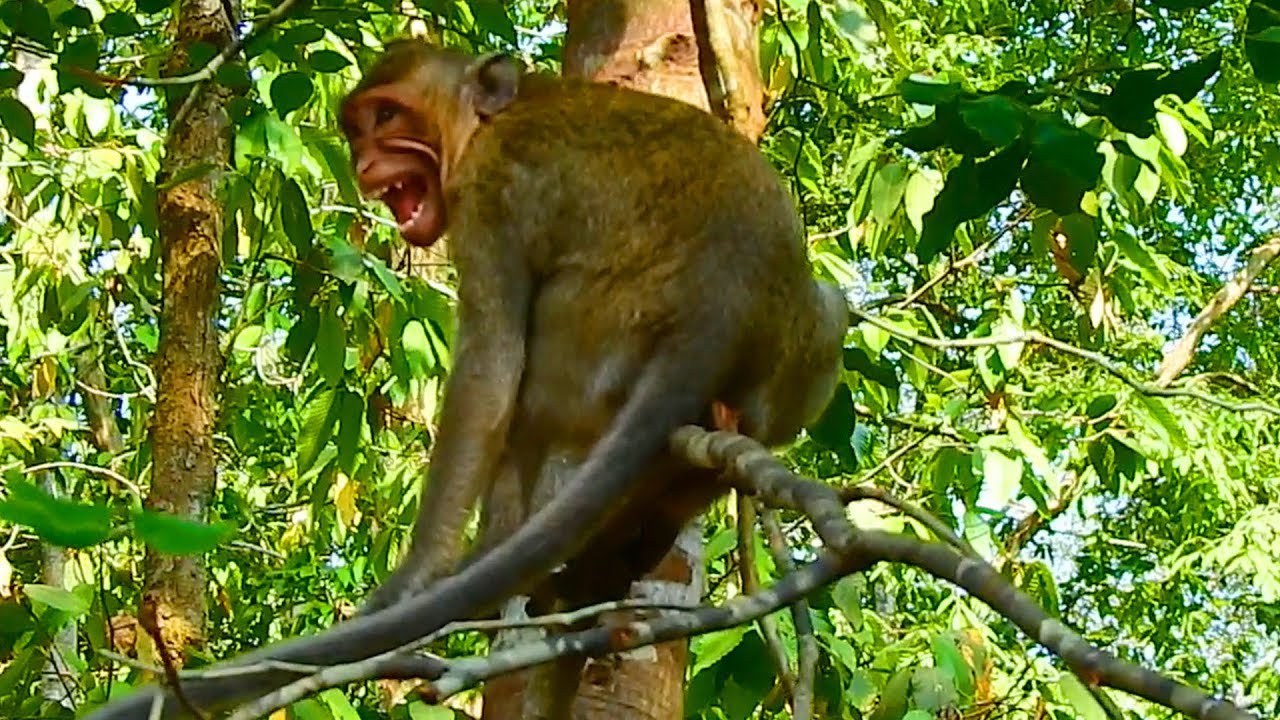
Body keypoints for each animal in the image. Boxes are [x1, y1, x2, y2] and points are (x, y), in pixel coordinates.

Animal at [79, 40, 847, 720]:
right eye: (355, 127)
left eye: (388, 116)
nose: (363, 160)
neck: (499, 113)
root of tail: (721, 303)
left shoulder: (488, 192)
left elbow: (490, 372)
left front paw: (416, 580)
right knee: (827, 313)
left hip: (593, 343)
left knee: (527, 405)